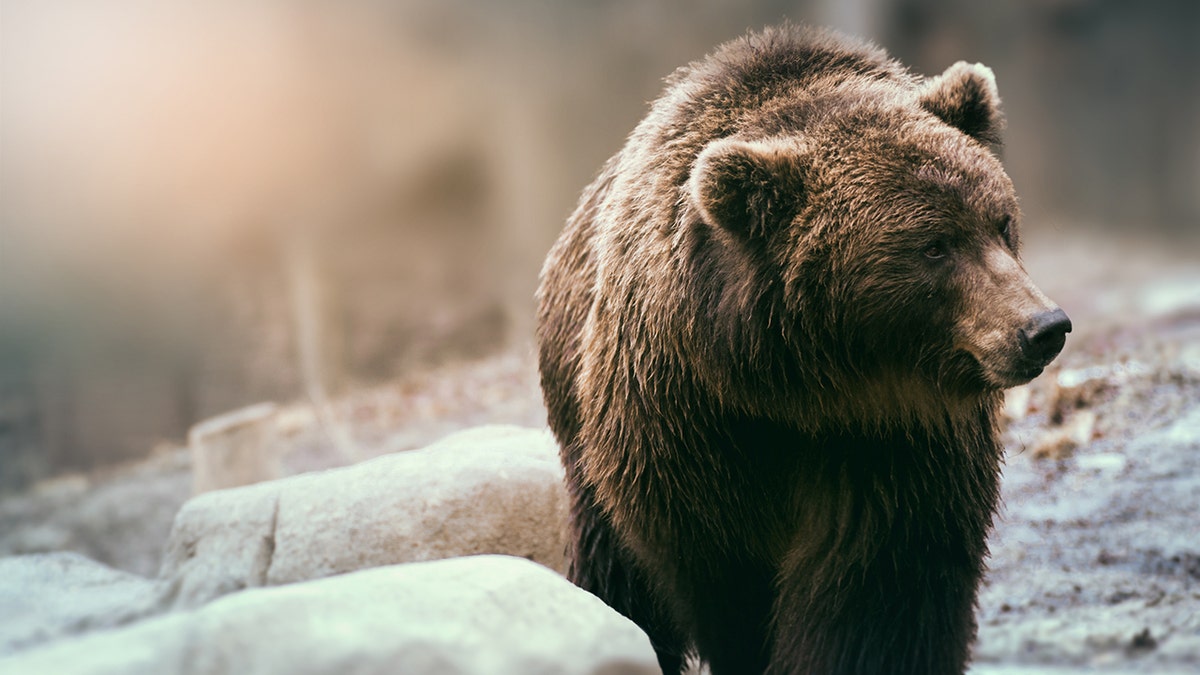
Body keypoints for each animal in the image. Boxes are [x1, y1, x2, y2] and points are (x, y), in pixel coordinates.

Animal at [535, 23, 1070, 667]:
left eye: (1001, 222)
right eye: (933, 246)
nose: (1043, 327)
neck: (803, 390)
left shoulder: (897, 448)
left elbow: (878, 591)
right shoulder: (685, 429)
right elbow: (723, 577)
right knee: (614, 566)